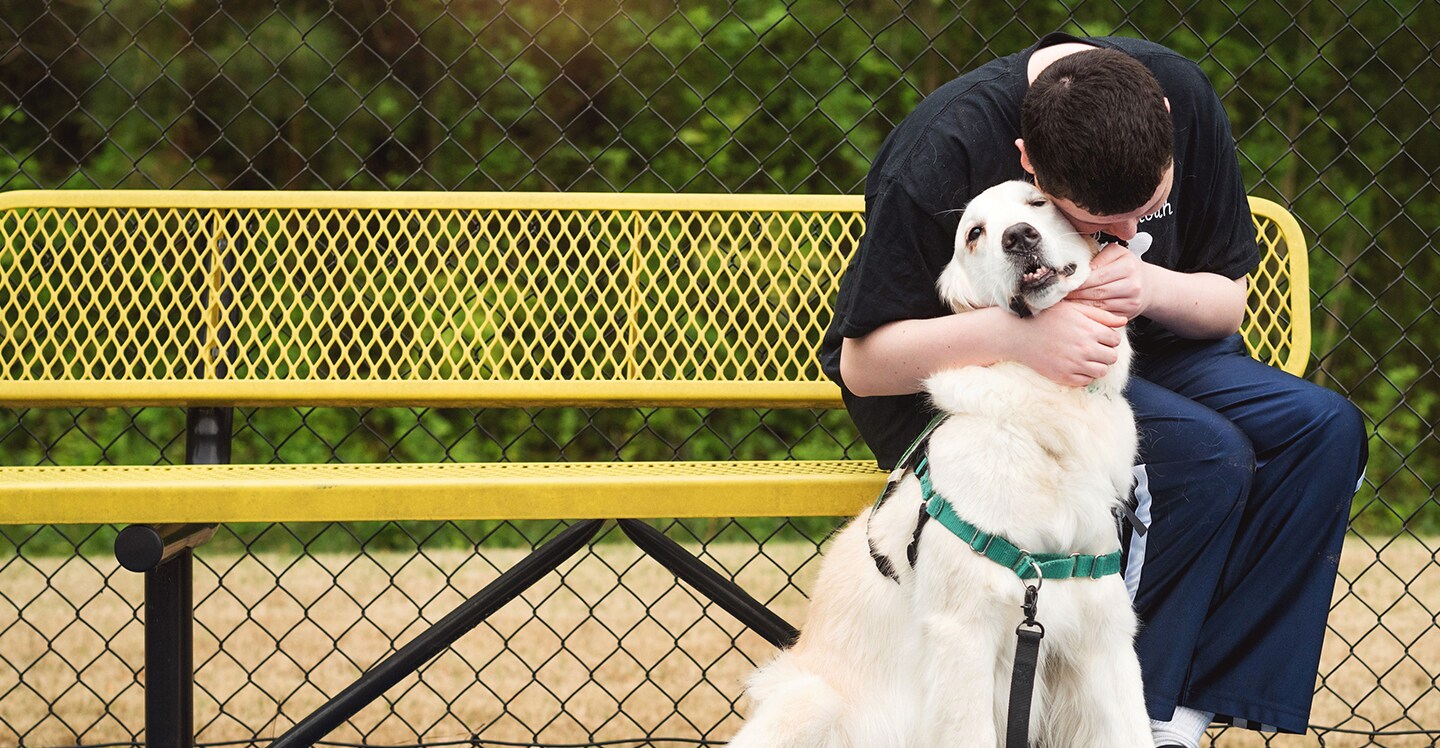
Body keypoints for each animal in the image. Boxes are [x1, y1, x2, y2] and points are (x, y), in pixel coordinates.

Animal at [731, 183, 1146, 748]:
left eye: (1038, 203)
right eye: (974, 234)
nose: (1019, 237)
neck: (1039, 421)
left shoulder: (1103, 631)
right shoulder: (962, 635)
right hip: (810, 703)